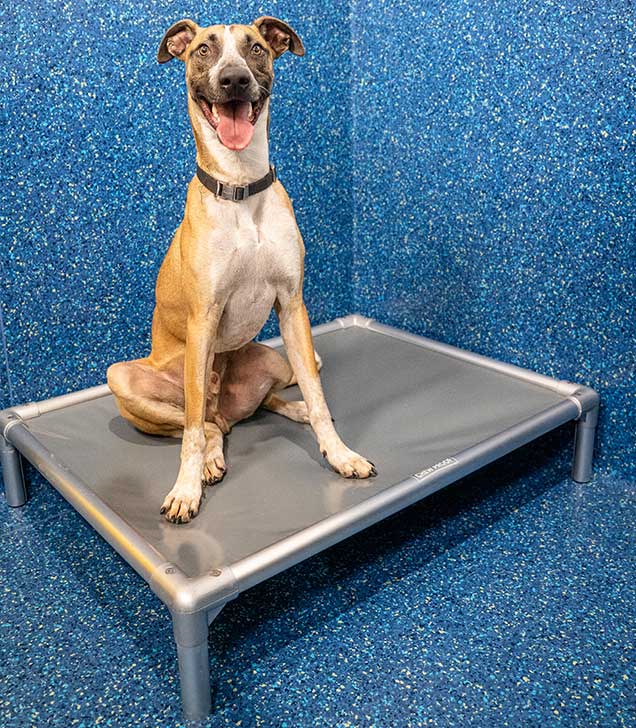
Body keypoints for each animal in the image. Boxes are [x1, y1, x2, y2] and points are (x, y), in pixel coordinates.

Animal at [107, 16, 376, 524]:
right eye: (203, 50)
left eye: (255, 48)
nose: (234, 80)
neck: (240, 186)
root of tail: (228, 408)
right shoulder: (203, 319)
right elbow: (192, 430)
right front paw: (186, 489)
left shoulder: (292, 305)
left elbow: (317, 394)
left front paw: (339, 453)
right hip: (126, 377)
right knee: (203, 422)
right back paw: (211, 458)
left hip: (272, 356)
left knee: (273, 394)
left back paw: (292, 411)